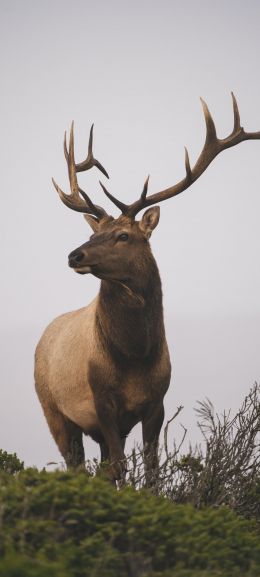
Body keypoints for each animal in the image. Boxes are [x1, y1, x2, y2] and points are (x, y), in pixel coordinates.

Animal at [34, 95, 260, 482]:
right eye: (94, 233)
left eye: (124, 235)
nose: (74, 255)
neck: (135, 355)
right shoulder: (101, 400)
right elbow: (119, 467)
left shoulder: (157, 402)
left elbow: (151, 469)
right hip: (53, 410)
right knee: (76, 464)